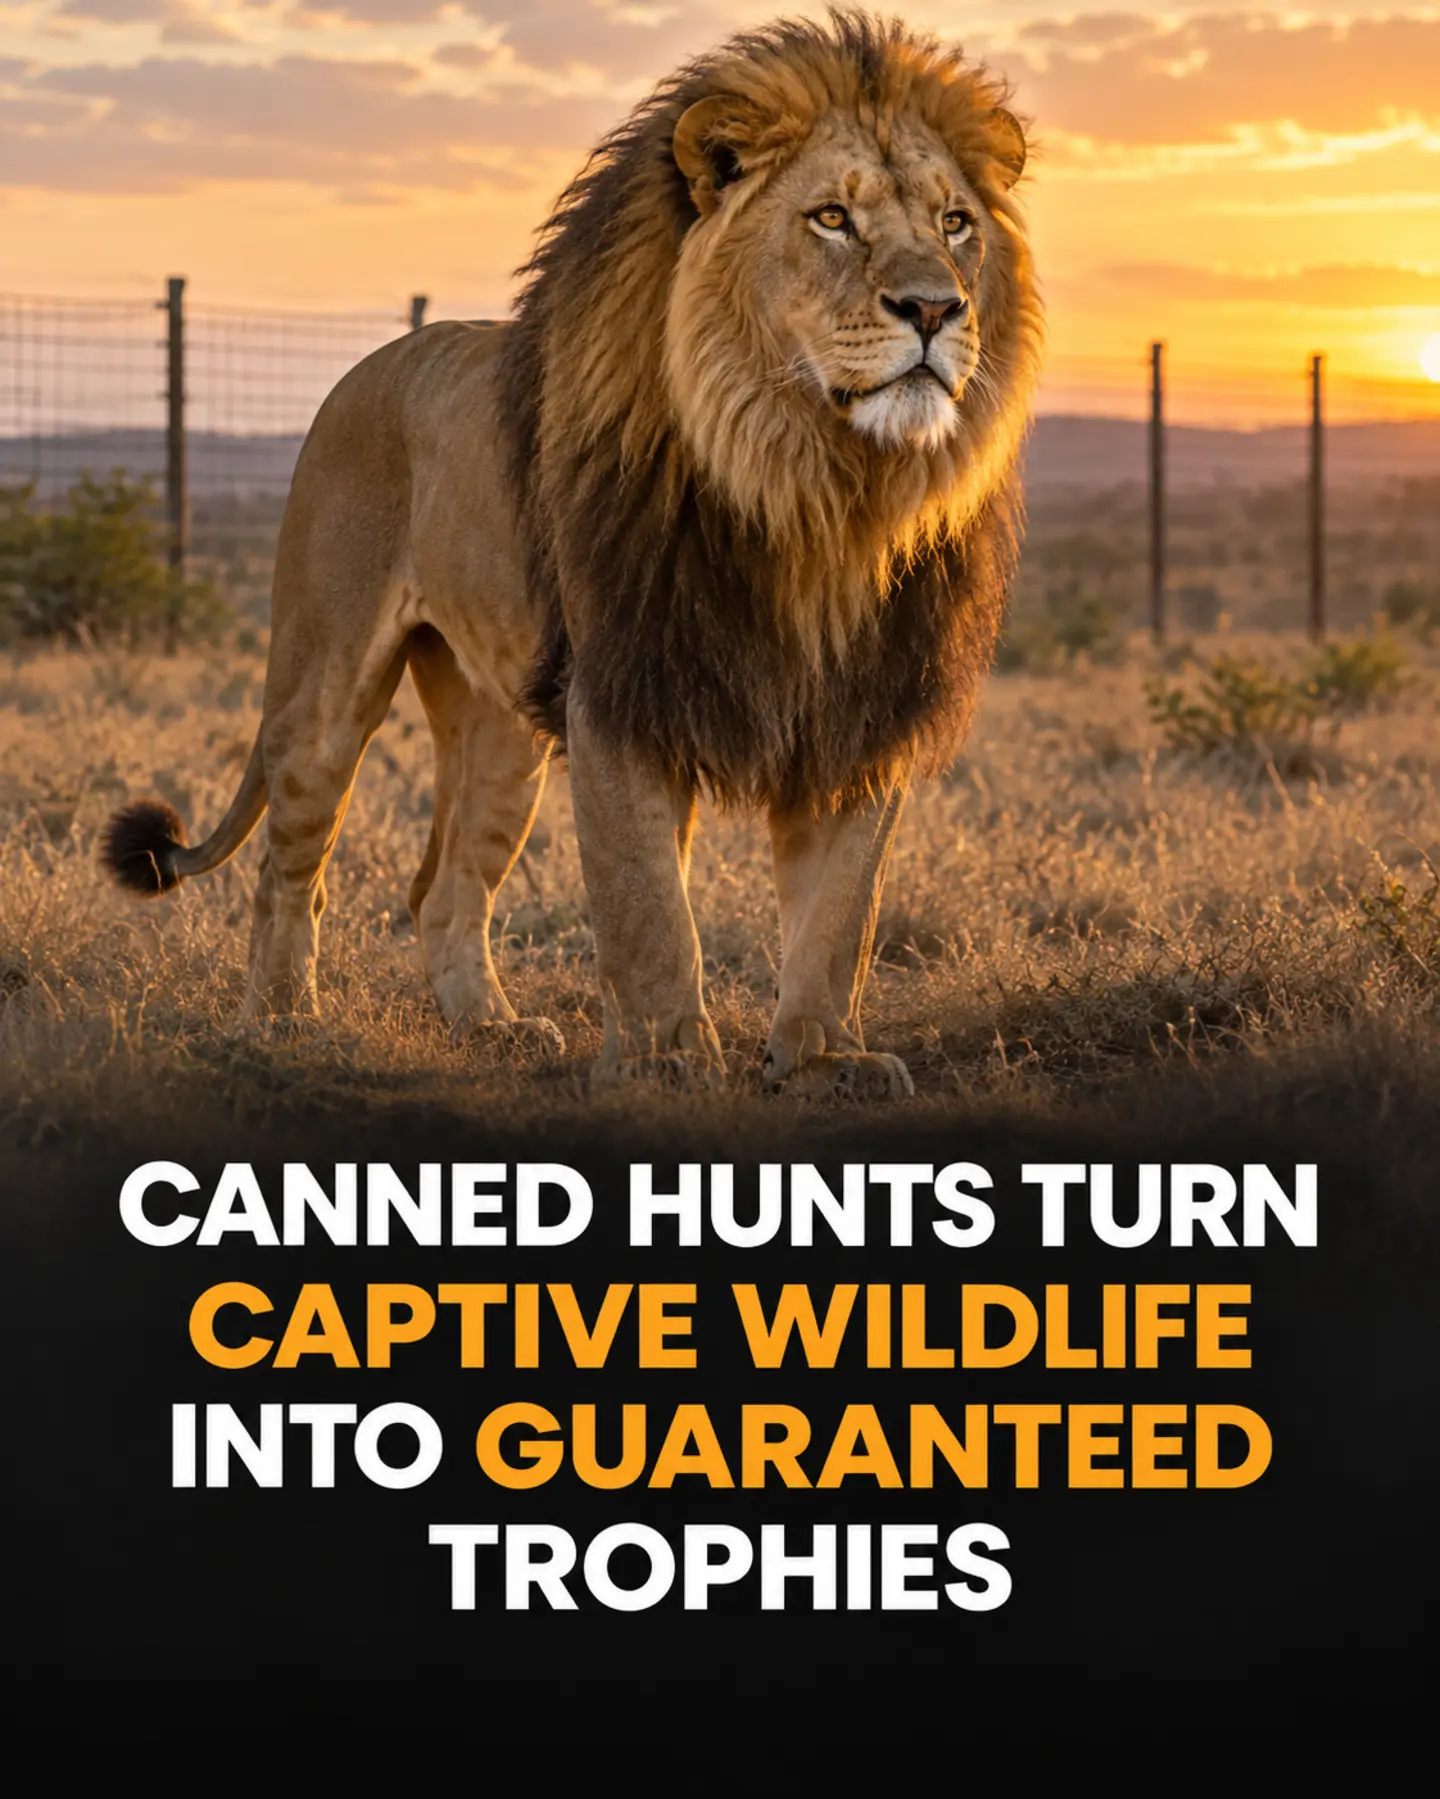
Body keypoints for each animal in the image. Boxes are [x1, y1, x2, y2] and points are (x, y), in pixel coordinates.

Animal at [101, 8, 1043, 1099]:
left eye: (956, 224)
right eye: (832, 219)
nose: (934, 308)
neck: (820, 487)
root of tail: (371, 365)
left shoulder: (865, 707)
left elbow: (840, 912)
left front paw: (821, 1057)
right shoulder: (623, 688)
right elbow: (647, 906)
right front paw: (669, 1060)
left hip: (503, 730)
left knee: (444, 886)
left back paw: (489, 1028)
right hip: (325, 681)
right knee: (289, 866)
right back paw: (287, 1026)